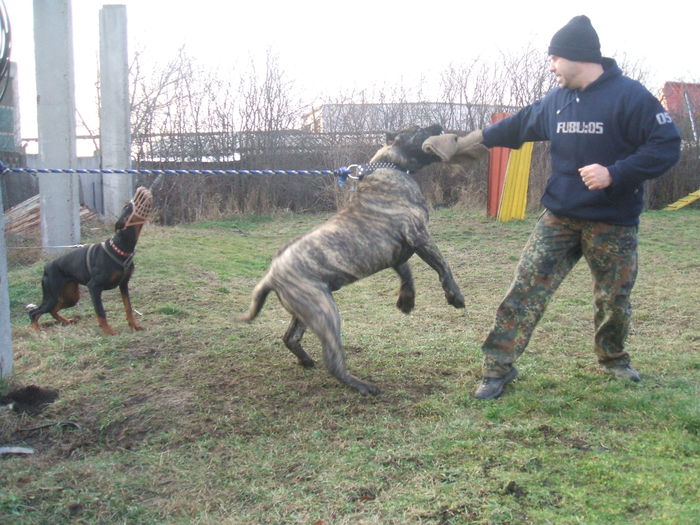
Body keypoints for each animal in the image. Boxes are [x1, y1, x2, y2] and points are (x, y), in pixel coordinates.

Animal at [28, 188, 153, 334]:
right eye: (128, 207)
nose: (142, 191)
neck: (120, 247)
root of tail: (47, 267)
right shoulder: (94, 287)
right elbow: (101, 312)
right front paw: (108, 331)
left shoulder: (123, 284)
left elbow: (128, 307)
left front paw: (134, 326)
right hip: (52, 295)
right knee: (34, 312)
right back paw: (37, 329)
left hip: (70, 297)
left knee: (52, 310)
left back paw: (66, 321)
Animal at [237, 124, 464, 392]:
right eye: (418, 129)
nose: (439, 126)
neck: (390, 165)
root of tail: (271, 276)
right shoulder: (419, 235)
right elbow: (442, 265)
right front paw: (455, 296)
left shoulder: (397, 252)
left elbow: (407, 274)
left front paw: (406, 301)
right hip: (325, 312)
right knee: (333, 361)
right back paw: (361, 385)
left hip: (305, 311)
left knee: (290, 337)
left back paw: (306, 361)